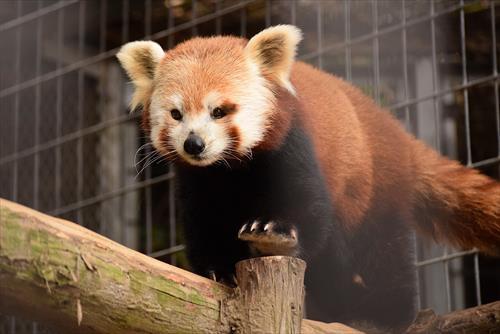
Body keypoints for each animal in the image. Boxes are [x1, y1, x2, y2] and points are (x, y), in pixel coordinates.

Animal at [118, 24, 500, 330]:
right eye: (176, 114)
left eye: (220, 111)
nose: (194, 144)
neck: (232, 169)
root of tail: (397, 133)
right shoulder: (199, 181)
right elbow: (203, 222)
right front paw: (216, 268)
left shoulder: (294, 146)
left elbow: (310, 212)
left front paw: (275, 232)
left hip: (374, 186)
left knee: (382, 249)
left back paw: (383, 313)